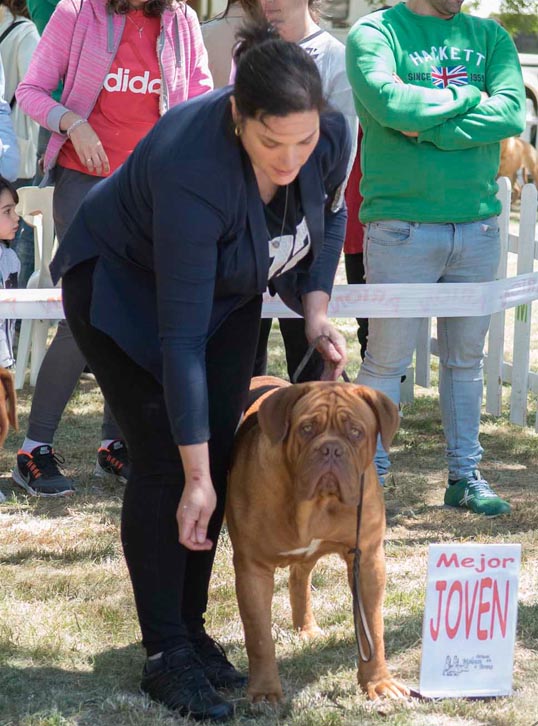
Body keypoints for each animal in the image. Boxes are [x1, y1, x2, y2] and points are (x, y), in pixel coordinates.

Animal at [225, 378, 406, 704]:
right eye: (307, 428)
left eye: (355, 432)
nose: (331, 449)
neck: (316, 506)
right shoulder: (252, 569)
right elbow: (259, 636)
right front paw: (264, 691)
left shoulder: (368, 560)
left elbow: (372, 626)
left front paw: (378, 682)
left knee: (299, 577)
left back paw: (305, 628)